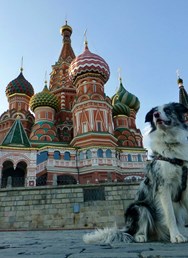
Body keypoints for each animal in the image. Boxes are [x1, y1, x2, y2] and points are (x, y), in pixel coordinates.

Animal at [83, 103, 188, 244]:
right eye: (155, 112)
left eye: (167, 109)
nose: (156, 115)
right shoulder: (163, 187)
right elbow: (170, 216)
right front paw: (176, 236)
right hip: (140, 208)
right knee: (138, 231)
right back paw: (141, 236)